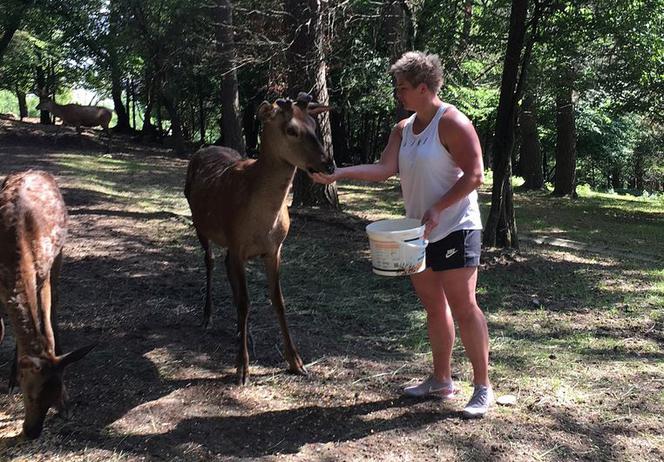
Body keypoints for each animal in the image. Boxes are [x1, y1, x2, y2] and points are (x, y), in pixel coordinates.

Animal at [0, 169, 94, 436]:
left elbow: (47, 332)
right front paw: (11, 378)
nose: (32, 432)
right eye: (29, 394)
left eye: (57, 394)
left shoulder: (41, 276)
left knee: (57, 303)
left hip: (59, 255)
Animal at [184, 94, 334, 386]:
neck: (264, 222)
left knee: (225, 266)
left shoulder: (274, 249)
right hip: (200, 223)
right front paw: (242, 368)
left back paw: (243, 332)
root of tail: (205, 148)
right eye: (291, 130)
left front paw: (296, 362)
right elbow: (246, 302)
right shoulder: (237, 241)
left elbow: (278, 300)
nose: (329, 164)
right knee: (209, 262)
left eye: (314, 125)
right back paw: (208, 316)